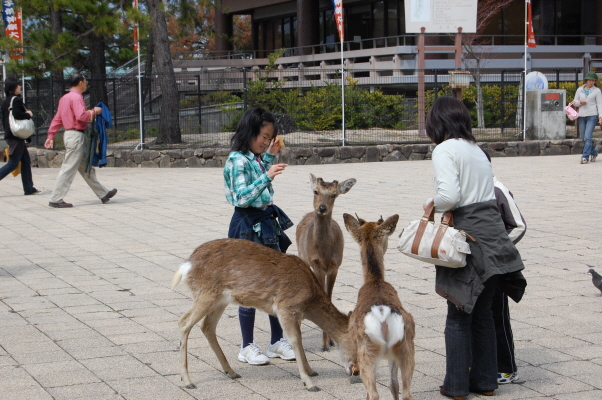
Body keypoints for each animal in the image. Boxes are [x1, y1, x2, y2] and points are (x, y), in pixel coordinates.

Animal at [169, 238, 356, 390]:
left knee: (207, 326)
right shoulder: (285, 307)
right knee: (183, 322)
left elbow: (299, 340)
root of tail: (186, 266)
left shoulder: (295, 314)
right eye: (357, 346)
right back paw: (188, 381)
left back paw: (231, 372)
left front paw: (311, 371)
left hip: (220, 300)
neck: (309, 300)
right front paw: (310, 383)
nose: (356, 371)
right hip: (206, 294)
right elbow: (295, 340)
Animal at [296, 172, 356, 350]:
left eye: (334, 194)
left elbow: (328, 297)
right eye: (316, 191)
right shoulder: (317, 265)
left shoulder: (335, 266)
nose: (322, 208)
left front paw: (330, 341)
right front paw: (324, 344)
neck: (325, 253)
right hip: (304, 258)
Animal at [342, 214, 412, 400]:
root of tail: (383, 316)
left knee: (373, 393)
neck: (374, 281)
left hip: (366, 351)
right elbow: (393, 385)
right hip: (405, 347)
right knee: (406, 392)